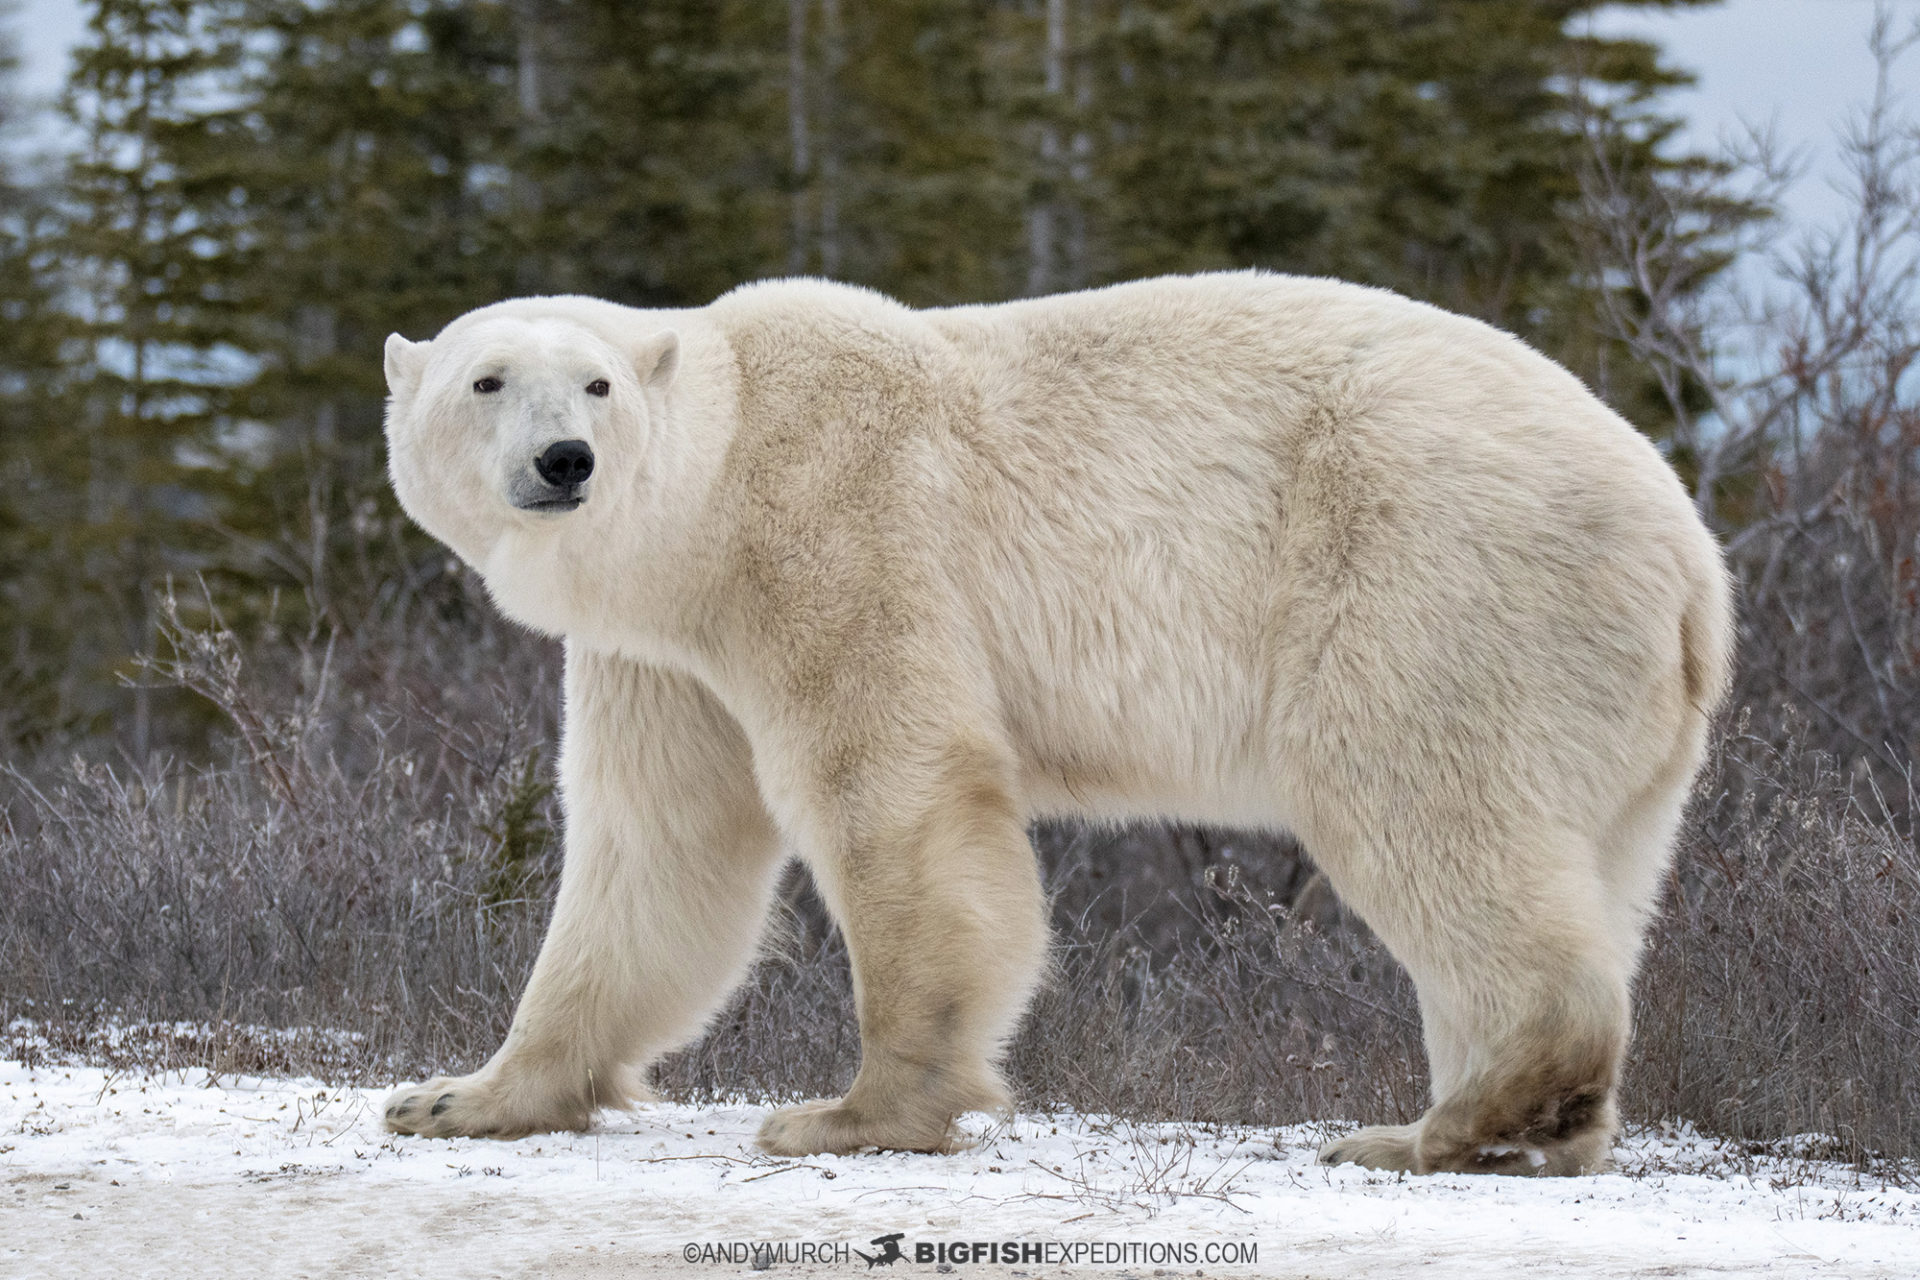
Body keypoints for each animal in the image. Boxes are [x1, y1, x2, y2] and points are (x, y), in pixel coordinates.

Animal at [378, 271, 1732, 1175]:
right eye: (485, 379)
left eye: (596, 382)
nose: (565, 459)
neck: (715, 490)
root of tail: (1694, 563)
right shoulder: (664, 653)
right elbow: (656, 846)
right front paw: (457, 1095)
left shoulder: (836, 526)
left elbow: (896, 784)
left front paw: (854, 1110)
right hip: (1612, 715)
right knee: (1589, 861)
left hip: (1433, 572)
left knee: (1421, 798)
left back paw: (1437, 1127)